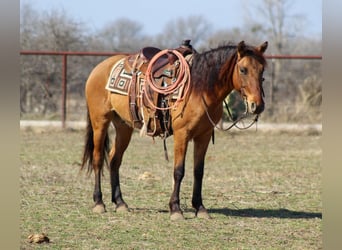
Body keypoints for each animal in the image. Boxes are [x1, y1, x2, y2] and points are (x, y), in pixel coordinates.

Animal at [82, 40, 268, 220]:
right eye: (243, 70)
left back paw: (120, 203)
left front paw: (200, 208)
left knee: (114, 159)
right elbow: (179, 171)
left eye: (262, 70)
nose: (257, 105)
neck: (200, 88)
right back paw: (99, 202)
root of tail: (99, 68)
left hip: (123, 127)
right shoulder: (182, 134)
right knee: (98, 159)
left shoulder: (204, 135)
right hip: (100, 122)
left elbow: (198, 171)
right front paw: (175, 209)